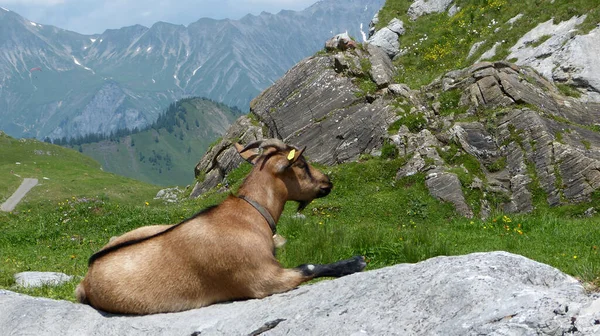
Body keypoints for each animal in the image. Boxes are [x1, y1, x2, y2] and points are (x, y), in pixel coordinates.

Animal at [75, 138, 366, 314]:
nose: (327, 183)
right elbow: (308, 267)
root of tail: (86, 278)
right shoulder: (262, 279)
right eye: (302, 164)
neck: (248, 215)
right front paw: (356, 262)